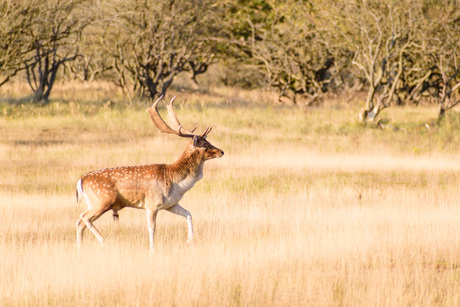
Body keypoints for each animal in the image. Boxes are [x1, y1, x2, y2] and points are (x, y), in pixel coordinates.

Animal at [75, 96, 225, 253]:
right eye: (205, 145)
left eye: (208, 141)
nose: (221, 151)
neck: (176, 183)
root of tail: (81, 180)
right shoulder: (152, 203)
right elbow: (152, 229)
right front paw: (152, 250)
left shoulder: (171, 204)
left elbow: (189, 214)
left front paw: (189, 240)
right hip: (102, 201)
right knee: (83, 217)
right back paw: (102, 240)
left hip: (93, 203)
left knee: (80, 222)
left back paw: (80, 249)